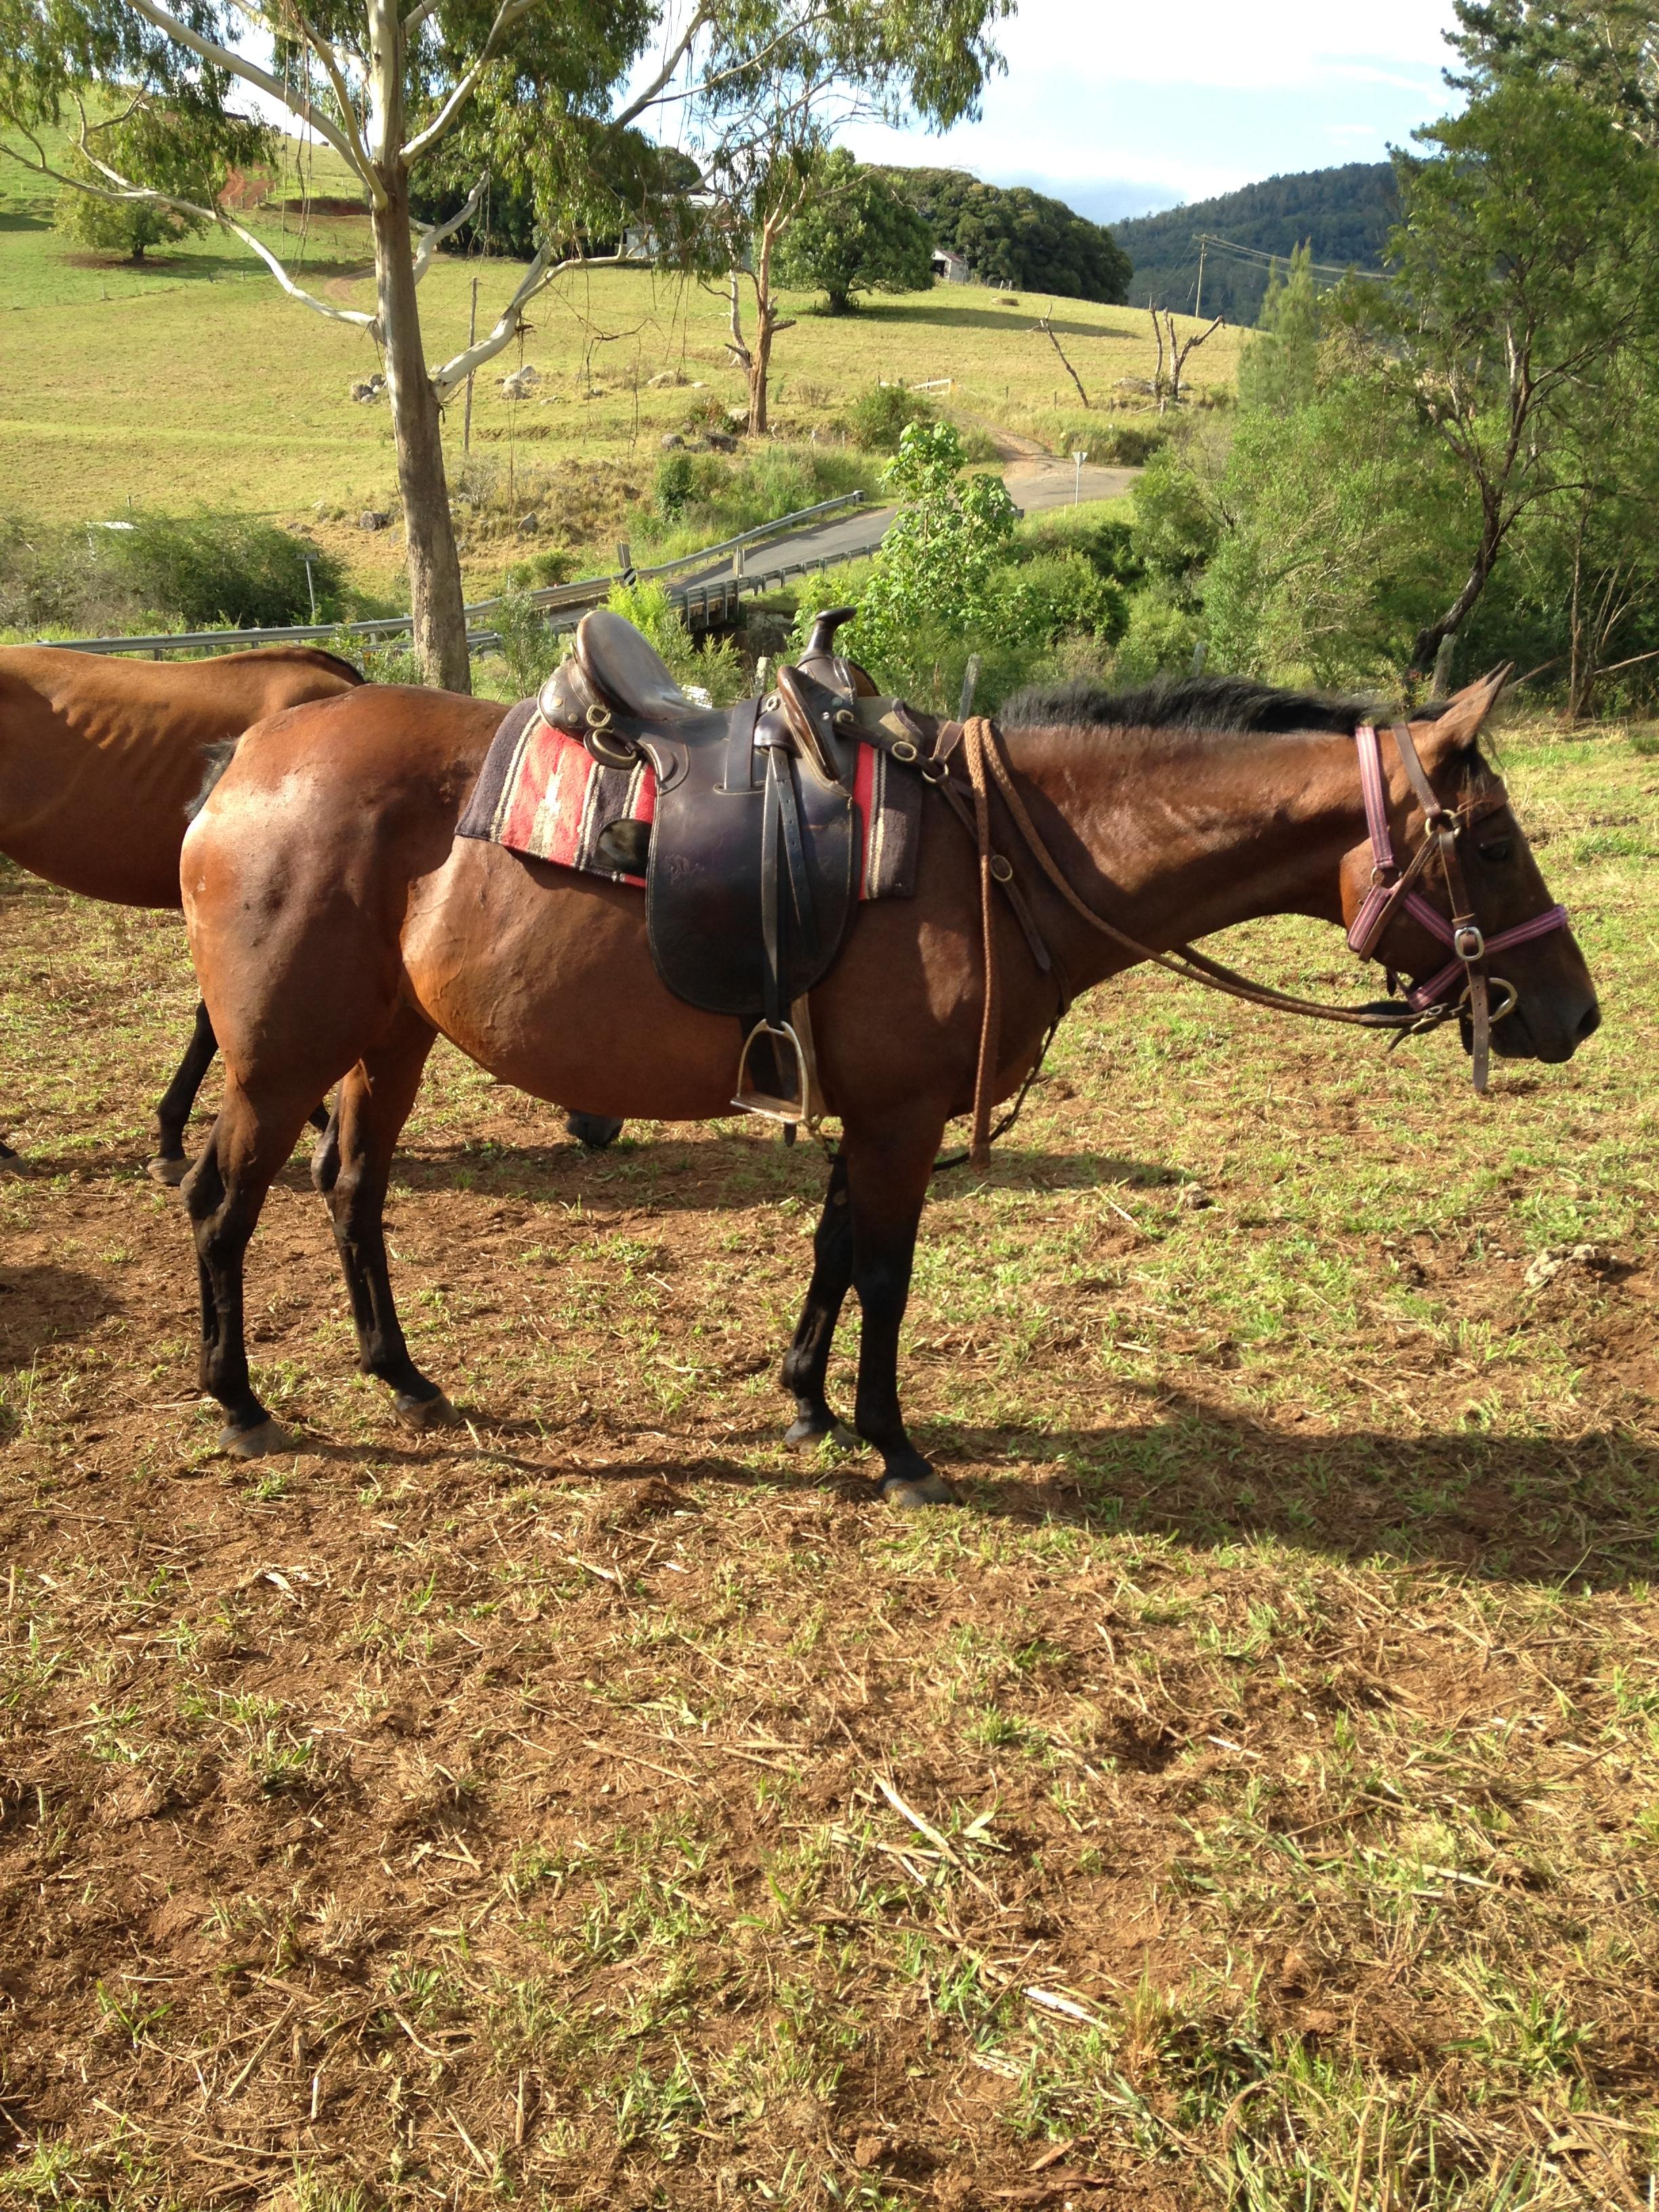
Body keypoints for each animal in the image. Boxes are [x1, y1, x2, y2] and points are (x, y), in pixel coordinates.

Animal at [175, 669, 1598, 1504]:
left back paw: (400, 1374)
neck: (998, 854)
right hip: (277, 1057)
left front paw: (805, 1400)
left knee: (352, 1189)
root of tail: (241, 763)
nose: (1576, 1013)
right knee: (221, 1201)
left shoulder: (862, 1111)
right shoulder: (904, 1117)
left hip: (387, 1040)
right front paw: (892, 1439)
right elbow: (885, 1270)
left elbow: (830, 1248)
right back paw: (239, 1398)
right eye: (1487, 840)